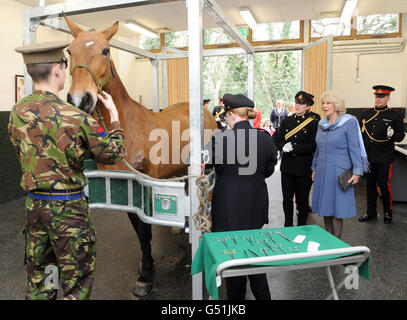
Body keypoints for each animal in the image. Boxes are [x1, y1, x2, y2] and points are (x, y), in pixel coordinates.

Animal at [63, 16, 218, 298]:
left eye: (106, 50)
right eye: (69, 51)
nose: (81, 100)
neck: (128, 125)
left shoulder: (146, 185)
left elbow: (145, 231)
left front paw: (146, 277)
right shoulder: (124, 189)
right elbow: (139, 232)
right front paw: (147, 267)